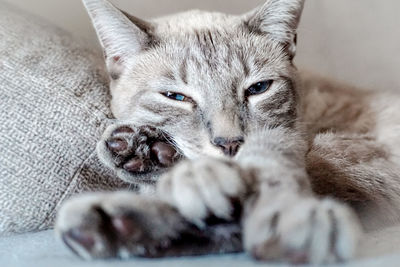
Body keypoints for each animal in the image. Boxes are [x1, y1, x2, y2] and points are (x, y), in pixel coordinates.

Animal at [54, 0, 400, 264]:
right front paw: (141, 148)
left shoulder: (297, 137)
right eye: (177, 97)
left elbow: (269, 160)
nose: (230, 143)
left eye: (258, 89)